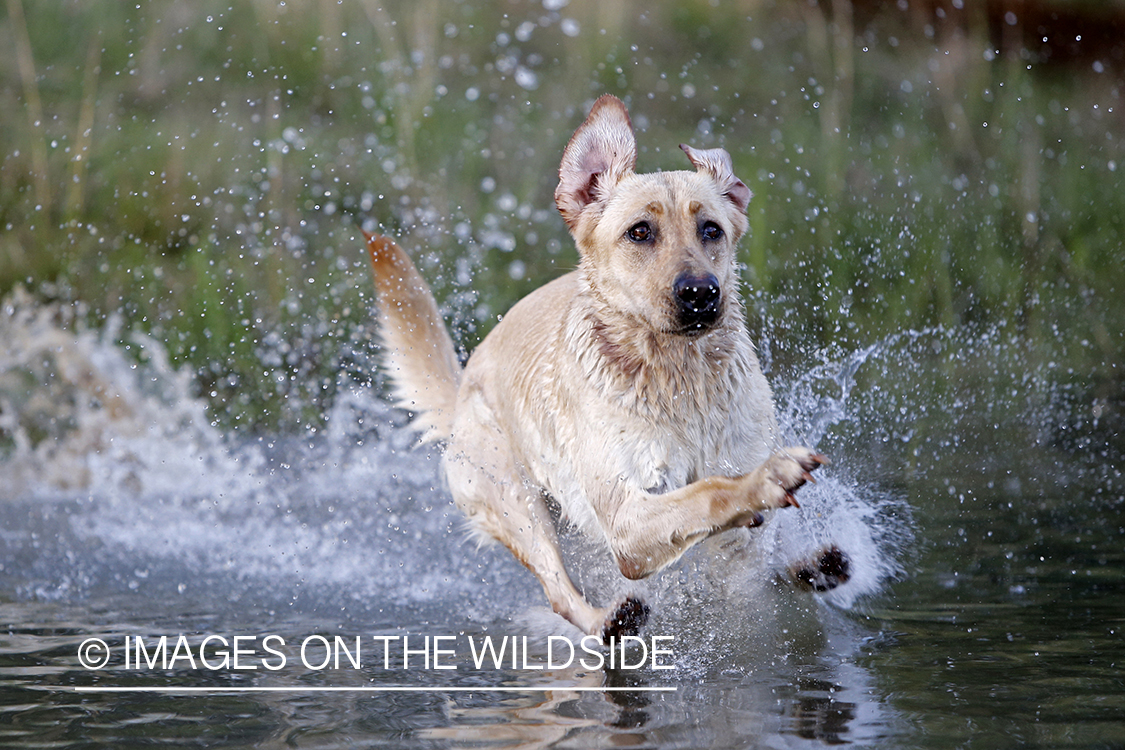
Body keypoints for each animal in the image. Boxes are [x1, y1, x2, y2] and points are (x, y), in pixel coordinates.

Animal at [360, 93, 846, 638]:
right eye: (640, 232)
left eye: (711, 230)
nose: (701, 293)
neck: (680, 382)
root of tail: (464, 386)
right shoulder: (627, 523)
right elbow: (708, 492)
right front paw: (767, 478)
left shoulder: (735, 533)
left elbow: (739, 540)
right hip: (516, 501)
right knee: (558, 590)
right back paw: (608, 620)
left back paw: (813, 567)